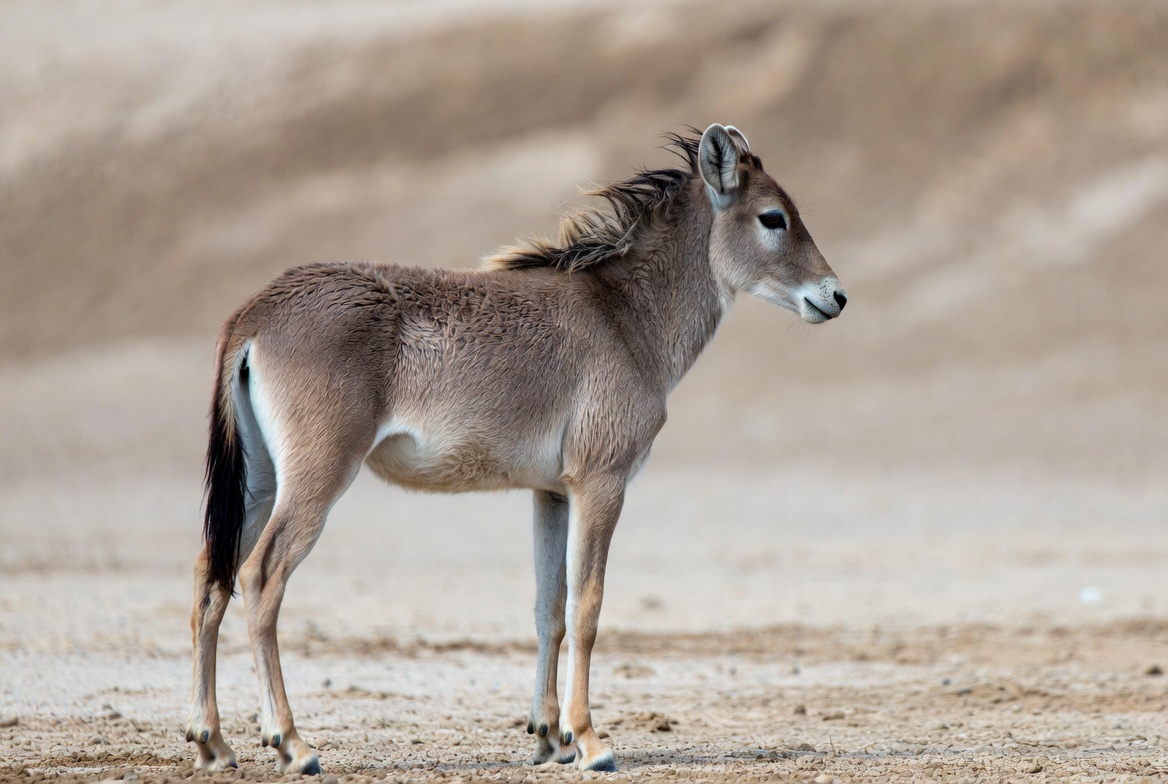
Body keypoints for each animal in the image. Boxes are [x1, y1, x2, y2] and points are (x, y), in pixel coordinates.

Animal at [186, 124, 847, 774]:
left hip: (261, 482)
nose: (835, 297)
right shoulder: (600, 485)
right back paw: (292, 743)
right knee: (260, 577)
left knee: (210, 579)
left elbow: (547, 610)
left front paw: (550, 737)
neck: (623, 317)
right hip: (316, 479)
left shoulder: (551, 494)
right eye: (772, 217)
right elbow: (586, 608)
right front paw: (591, 742)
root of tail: (255, 314)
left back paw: (213, 743)